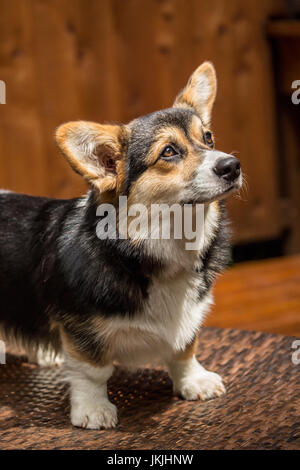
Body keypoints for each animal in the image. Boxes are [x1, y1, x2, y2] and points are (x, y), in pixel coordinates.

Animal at [0, 62, 241, 430]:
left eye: (209, 137)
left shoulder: (189, 320)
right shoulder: (81, 329)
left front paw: (193, 382)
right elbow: (93, 371)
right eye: (169, 151)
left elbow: (184, 350)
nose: (232, 166)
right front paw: (93, 410)